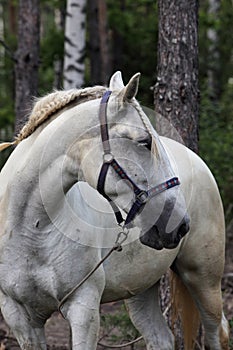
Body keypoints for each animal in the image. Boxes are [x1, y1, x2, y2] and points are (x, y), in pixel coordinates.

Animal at [0, 72, 229, 350]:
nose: (180, 224)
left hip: (204, 279)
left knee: (217, 333)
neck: (32, 228)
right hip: (141, 289)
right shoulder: (20, 318)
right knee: (161, 338)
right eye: (144, 142)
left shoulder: (84, 308)